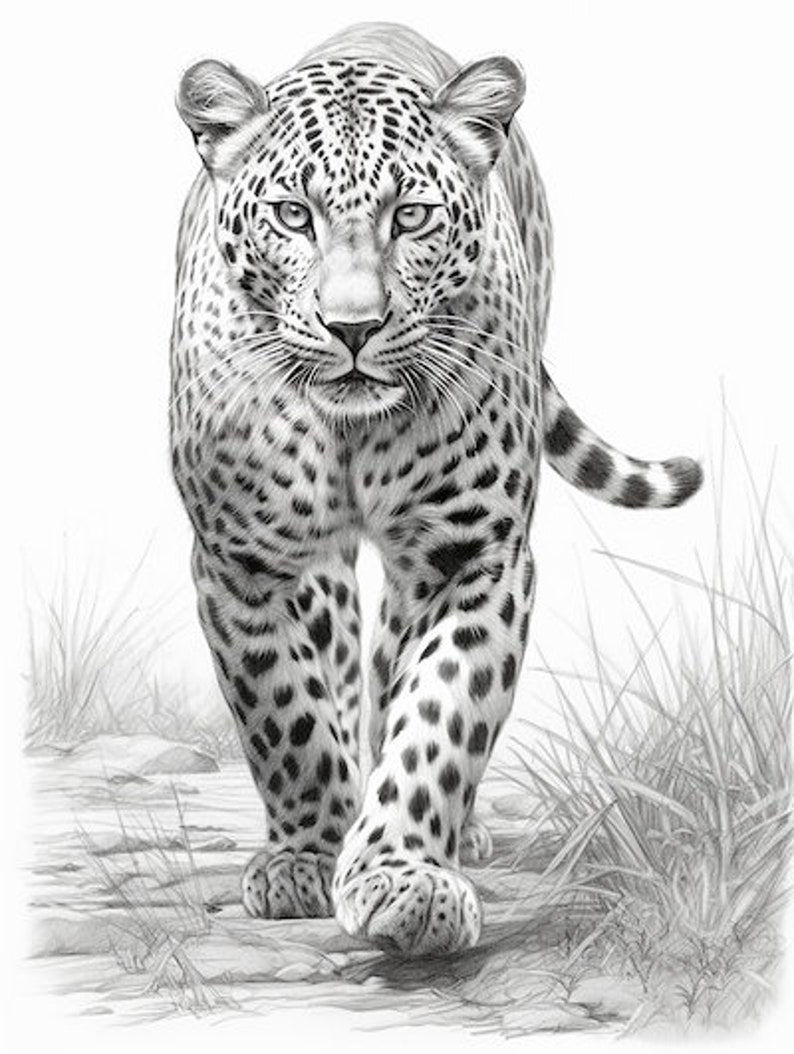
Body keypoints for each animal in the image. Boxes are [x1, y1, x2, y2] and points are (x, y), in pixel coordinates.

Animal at [170, 21, 702, 956]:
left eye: (410, 215)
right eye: (292, 215)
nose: (353, 327)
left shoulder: (473, 556)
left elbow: (439, 718)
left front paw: (403, 876)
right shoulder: (244, 562)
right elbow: (286, 713)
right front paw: (308, 855)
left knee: (389, 668)